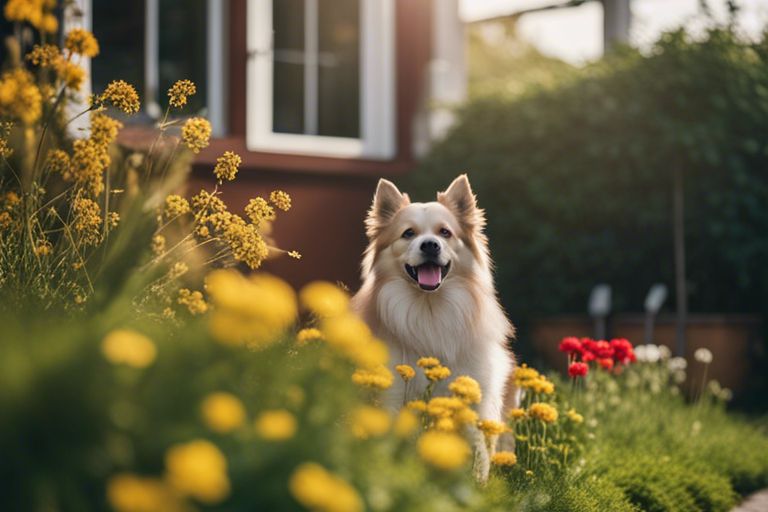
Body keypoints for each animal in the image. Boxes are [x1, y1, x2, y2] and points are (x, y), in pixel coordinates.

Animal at [352, 175, 516, 480]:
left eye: (445, 233)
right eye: (408, 234)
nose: (430, 245)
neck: (430, 309)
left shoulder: (472, 395)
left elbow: (477, 450)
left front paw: (477, 483)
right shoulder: (392, 395)